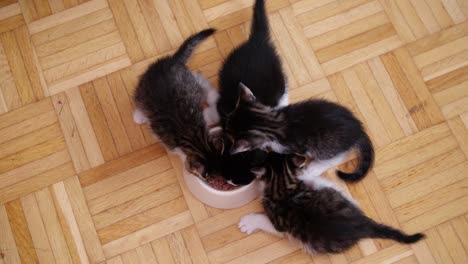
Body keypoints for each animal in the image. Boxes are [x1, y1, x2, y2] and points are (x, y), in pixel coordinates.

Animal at [222, 83, 372, 183]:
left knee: (338, 156)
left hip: (326, 146)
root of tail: (358, 129)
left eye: (229, 134)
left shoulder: (285, 147)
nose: (224, 128)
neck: (270, 122)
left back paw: (316, 167)